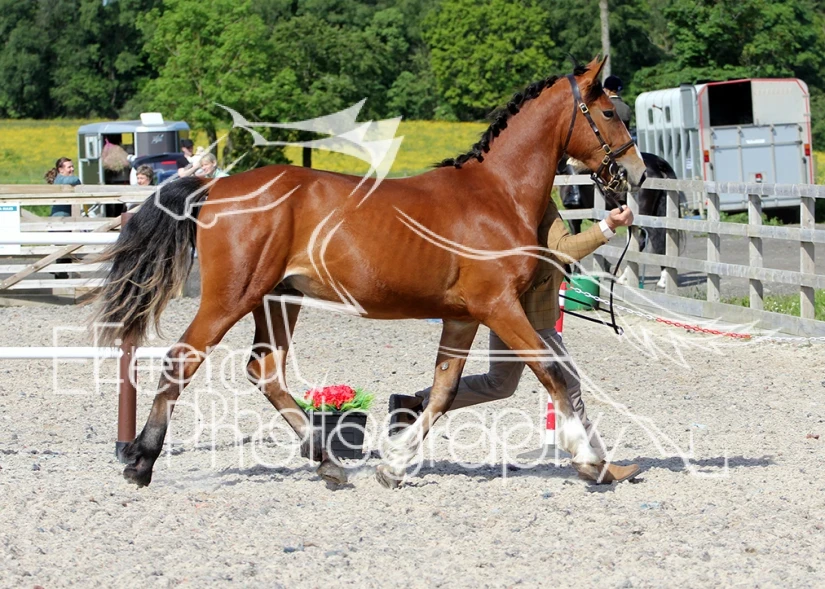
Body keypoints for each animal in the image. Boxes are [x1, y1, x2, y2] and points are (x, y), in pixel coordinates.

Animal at [92, 56, 646, 489]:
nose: (637, 175)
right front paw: (592, 463)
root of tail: (214, 188)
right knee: (182, 360)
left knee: (265, 371)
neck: (497, 194)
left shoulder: (464, 316)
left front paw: (394, 465)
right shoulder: (499, 307)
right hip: (231, 298)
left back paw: (327, 462)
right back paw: (140, 462)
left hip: (277, 301)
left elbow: (443, 391)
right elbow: (553, 375)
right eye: (607, 113)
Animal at [558, 152, 686, 288]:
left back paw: (626, 277)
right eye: (565, 171)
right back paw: (663, 278)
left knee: (646, 240)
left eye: (580, 171)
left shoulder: (574, 218)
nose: (573, 200)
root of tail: (656, 161)